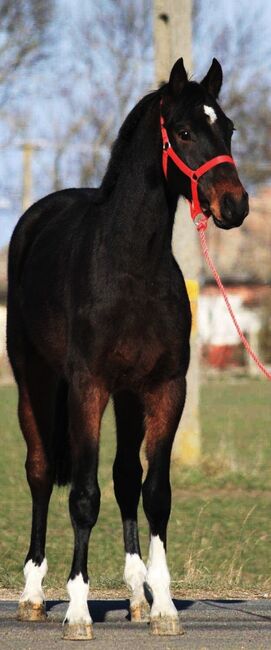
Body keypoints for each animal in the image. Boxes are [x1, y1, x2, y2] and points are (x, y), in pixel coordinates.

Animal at [6, 58, 250, 636]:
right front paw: (76, 609)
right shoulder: (88, 387)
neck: (130, 269)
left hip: (128, 398)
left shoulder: (163, 388)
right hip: (35, 380)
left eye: (227, 127)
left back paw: (137, 593)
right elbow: (83, 495)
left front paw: (162, 607)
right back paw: (32, 594)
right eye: (183, 131)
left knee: (124, 478)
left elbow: (153, 491)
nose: (235, 205)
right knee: (41, 472)